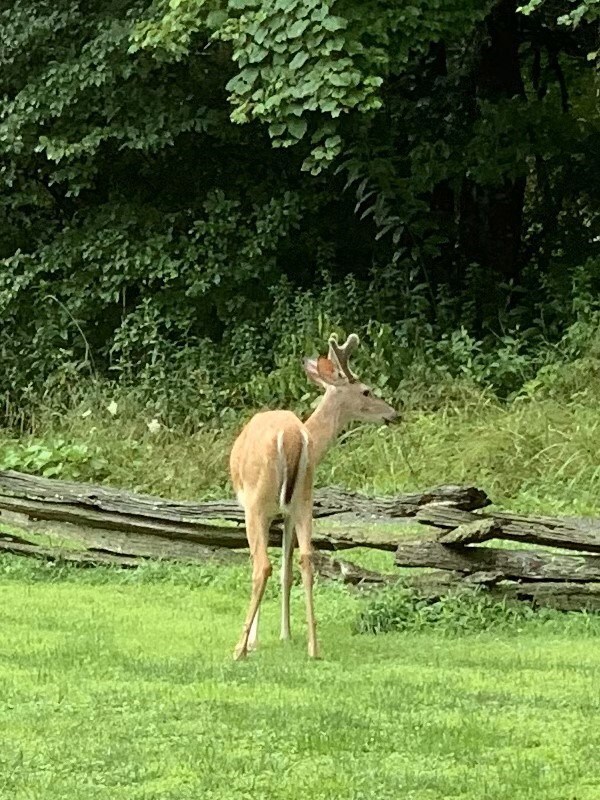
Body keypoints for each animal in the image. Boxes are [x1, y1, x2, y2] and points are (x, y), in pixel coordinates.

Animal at [230, 332, 398, 664]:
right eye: (366, 391)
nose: (394, 414)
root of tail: (293, 436)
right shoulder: (287, 513)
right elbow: (287, 570)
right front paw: (285, 635)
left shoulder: (262, 509)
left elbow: (266, 564)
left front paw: (256, 640)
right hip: (305, 498)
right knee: (307, 560)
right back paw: (313, 647)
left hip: (259, 499)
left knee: (262, 566)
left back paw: (239, 649)